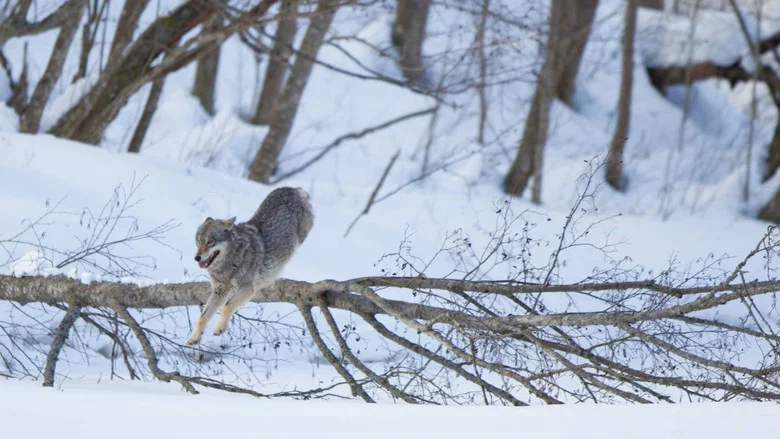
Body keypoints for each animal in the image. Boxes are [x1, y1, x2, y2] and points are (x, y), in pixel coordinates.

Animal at [186, 187, 313, 346]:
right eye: (198, 241)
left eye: (210, 242)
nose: (197, 258)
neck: (228, 264)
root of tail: (291, 188)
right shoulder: (219, 291)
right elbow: (203, 316)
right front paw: (194, 338)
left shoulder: (247, 289)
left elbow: (227, 306)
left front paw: (219, 328)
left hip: (302, 236)